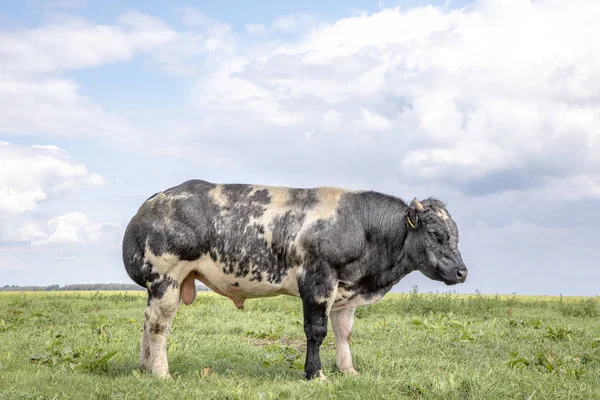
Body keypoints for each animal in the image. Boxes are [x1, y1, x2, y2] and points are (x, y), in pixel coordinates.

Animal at [122, 180, 468, 380]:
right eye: (435, 233)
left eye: (455, 234)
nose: (462, 272)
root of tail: (156, 198)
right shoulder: (317, 283)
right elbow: (316, 332)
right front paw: (315, 375)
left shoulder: (346, 291)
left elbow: (344, 333)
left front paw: (348, 370)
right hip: (165, 278)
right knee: (159, 325)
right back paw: (161, 373)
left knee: (147, 319)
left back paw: (144, 367)